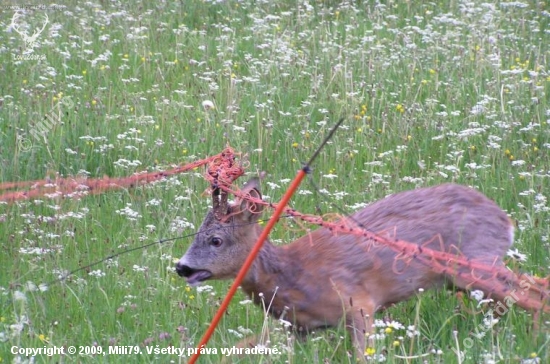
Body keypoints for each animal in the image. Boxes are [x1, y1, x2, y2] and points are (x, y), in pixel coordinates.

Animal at [176, 178, 548, 358]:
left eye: (215, 240)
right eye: (196, 234)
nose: (181, 267)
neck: (289, 275)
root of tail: (505, 220)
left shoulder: (359, 304)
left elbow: (362, 355)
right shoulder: (296, 327)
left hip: (476, 266)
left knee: (531, 293)